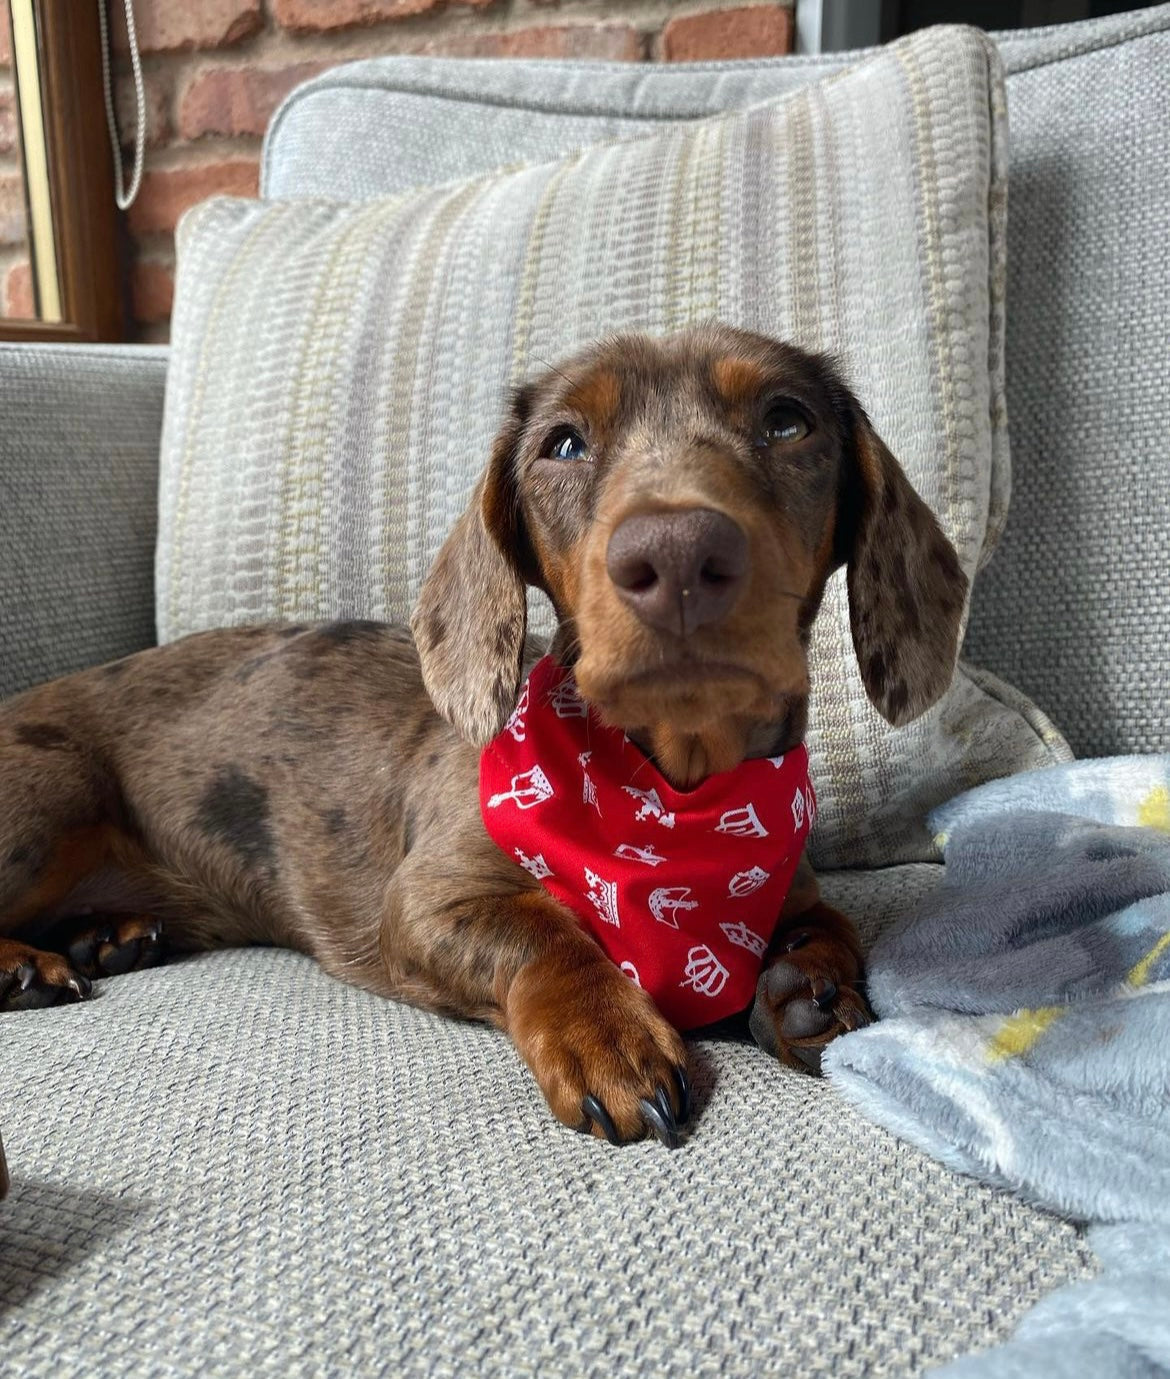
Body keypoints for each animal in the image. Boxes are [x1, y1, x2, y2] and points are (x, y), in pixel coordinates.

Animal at [0, 322, 971, 1141]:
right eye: (564, 443)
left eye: (785, 420)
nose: (678, 556)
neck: (673, 793)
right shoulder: (424, 898)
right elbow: (545, 930)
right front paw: (605, 1032)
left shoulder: (793, 883)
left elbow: (829, 920)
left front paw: (809, 983)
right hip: (50, 794)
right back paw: (29, 963)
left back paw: (107, 934)